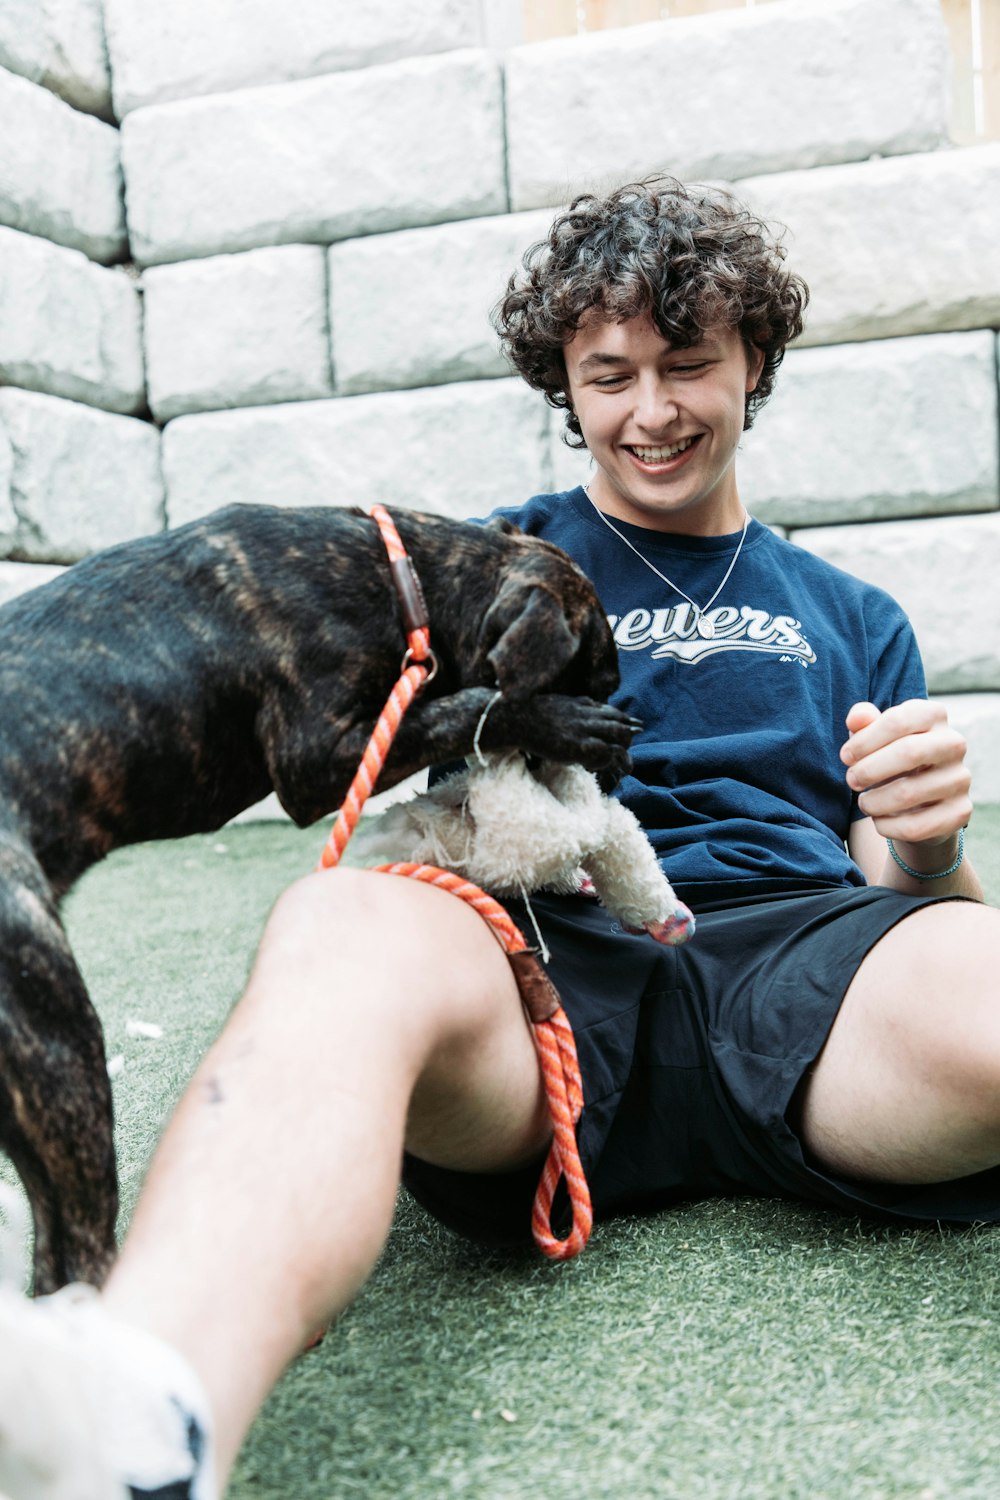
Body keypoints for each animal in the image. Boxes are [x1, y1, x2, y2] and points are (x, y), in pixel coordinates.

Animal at [0, 501, 638, 1290]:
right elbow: (476, 703)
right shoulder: (315, 757)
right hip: (63, 1057)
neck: (404, 576)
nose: (617, 770)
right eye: (596, 682)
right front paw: (572, 725)